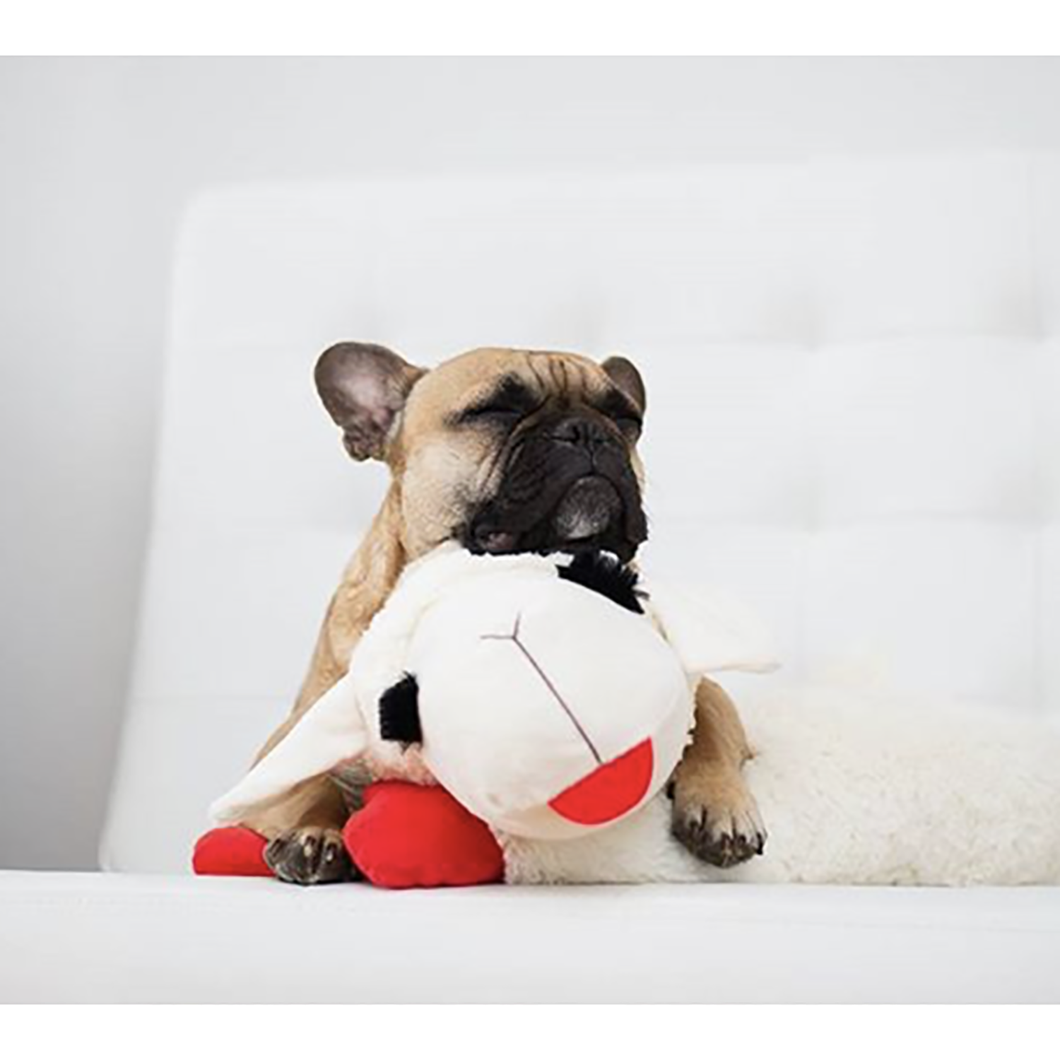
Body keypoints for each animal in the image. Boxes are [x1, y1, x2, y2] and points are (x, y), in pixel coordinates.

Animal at [236, 343, 767, 881]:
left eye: (626, 420)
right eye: (495, 410)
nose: (588, 430)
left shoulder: (702, 685)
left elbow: (710, 725)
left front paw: (721, 803)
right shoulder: (279, 745)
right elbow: (307, 784)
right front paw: (315, 831)